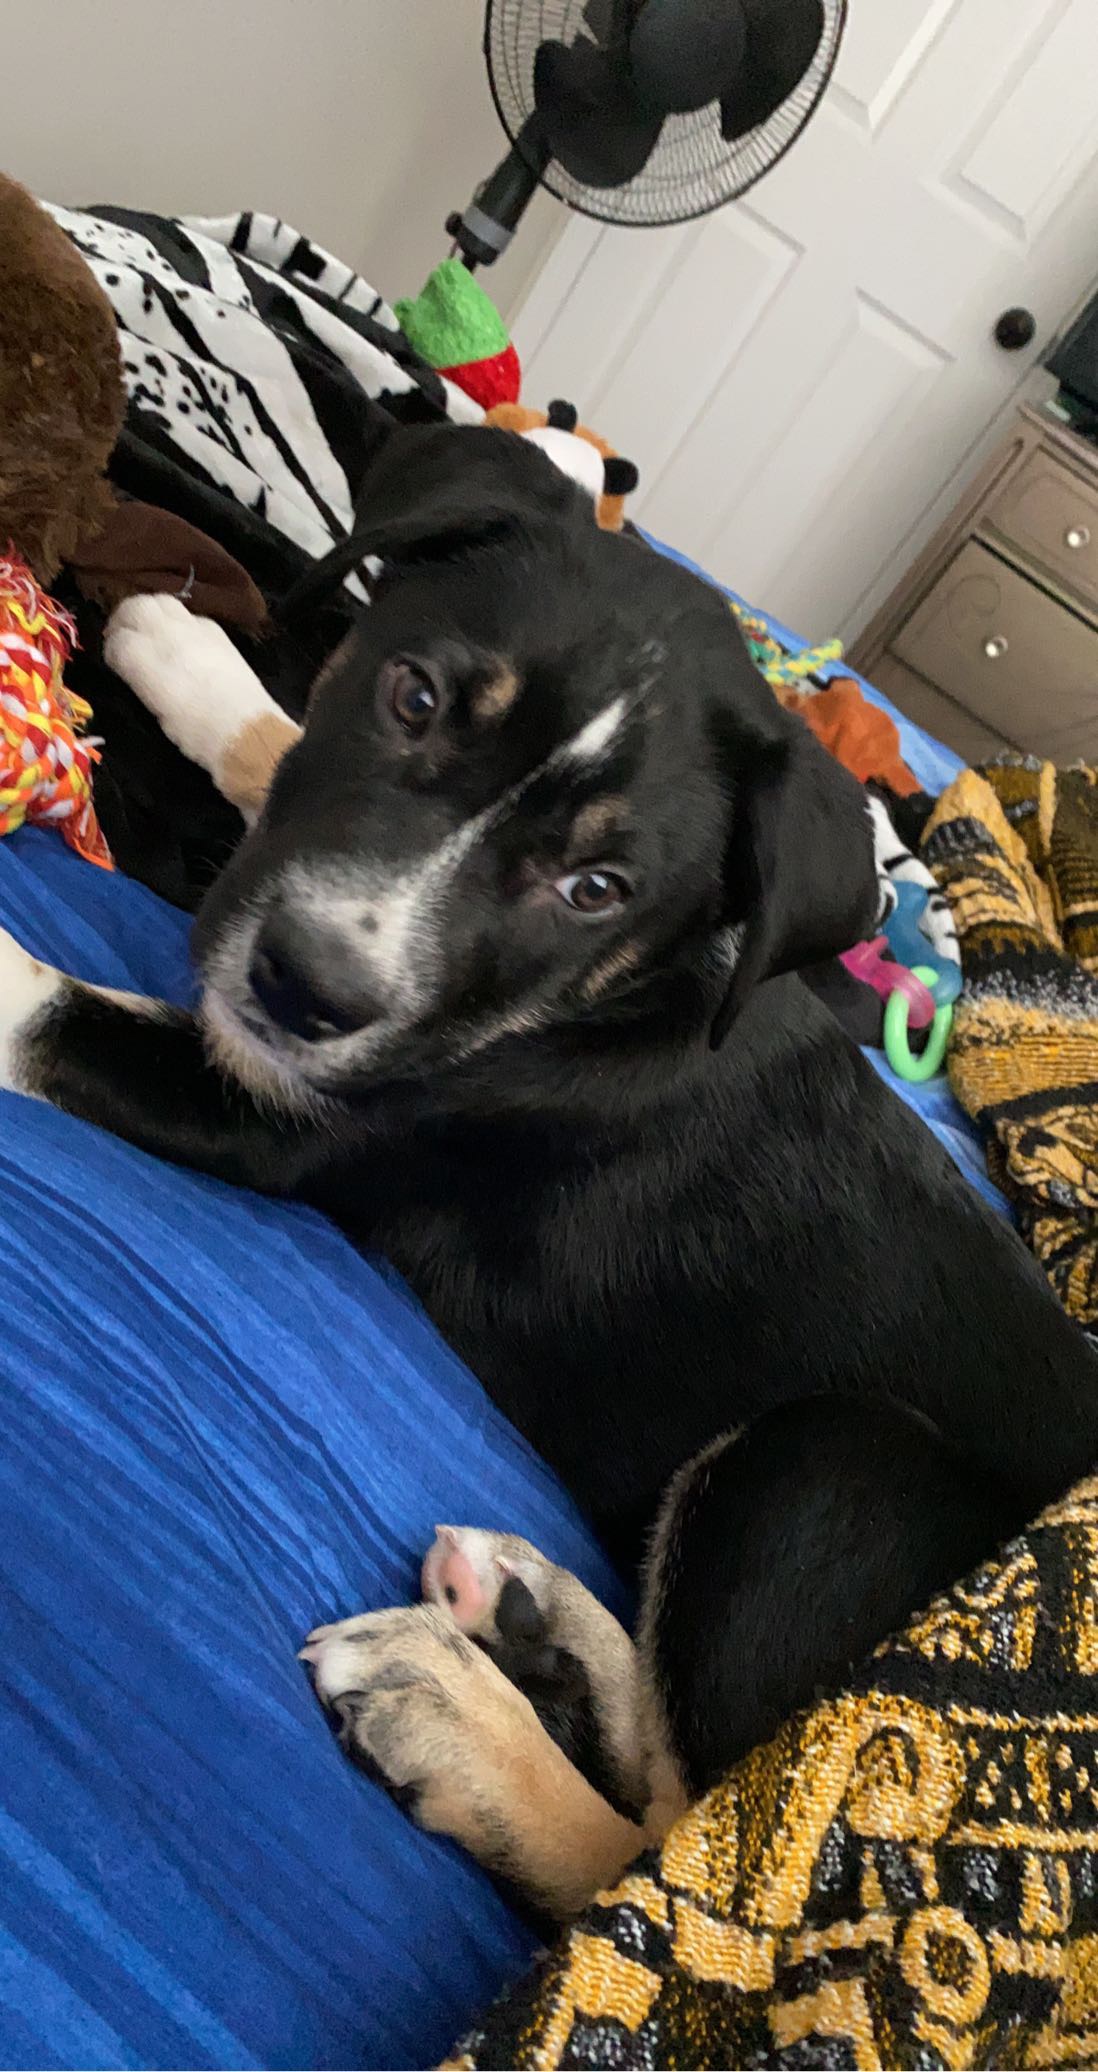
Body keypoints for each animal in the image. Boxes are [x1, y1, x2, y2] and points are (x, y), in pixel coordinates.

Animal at [2, 423, 1097, 1919]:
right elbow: (280, 753)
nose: (305, 989)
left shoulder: (289, 1112)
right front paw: (197, 665)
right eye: (409, 697)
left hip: (824, 1460)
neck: (620, 991)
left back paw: (457, 1718)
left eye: (597, 891)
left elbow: (50, 1009)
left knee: (680, 1866)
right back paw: (538, 1619)